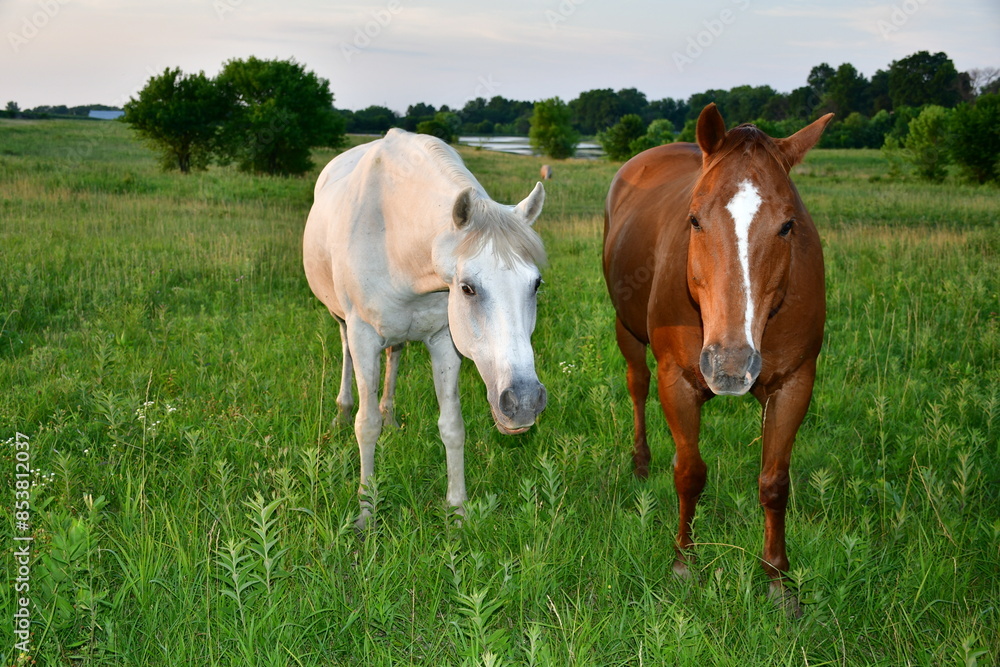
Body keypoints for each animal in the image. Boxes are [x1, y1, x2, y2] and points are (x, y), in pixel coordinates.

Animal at [304, 129, 548, 528]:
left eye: (536, 283)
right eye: (467, 288)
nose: (524, 402)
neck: (395, 237)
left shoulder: (444, 341)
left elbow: (452, 425)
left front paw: (458, 511)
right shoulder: (363, 335)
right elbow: (365, 425)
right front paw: (366, 513)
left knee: (395, 356)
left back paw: (391, 417)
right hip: (343, 321)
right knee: (345, 354)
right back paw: (342, 410)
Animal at [602, 103, 833, 613]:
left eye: (788, 225)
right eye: (694, 220)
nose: (730, 364)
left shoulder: (794, 383)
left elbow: (774, 482)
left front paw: (777, 580)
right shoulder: (677, 380)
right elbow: (689, 474)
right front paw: (684, 564)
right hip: (626, 330)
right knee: (636, 385)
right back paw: (641, 462)